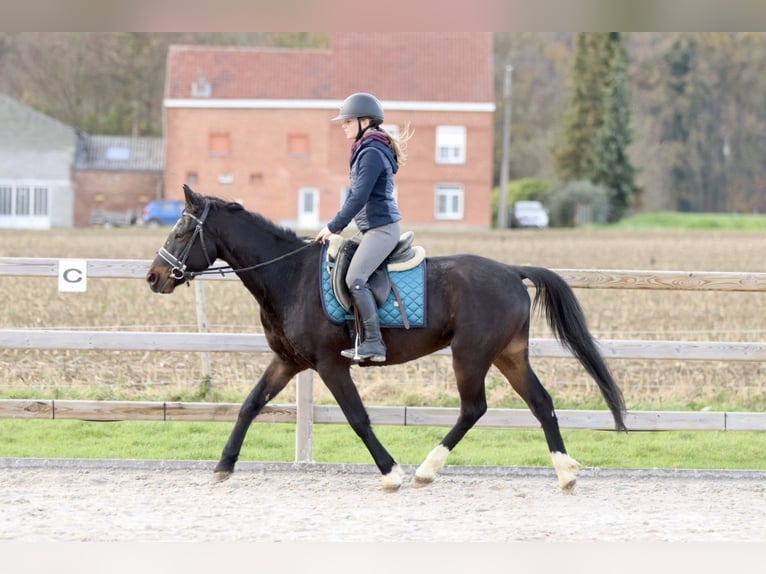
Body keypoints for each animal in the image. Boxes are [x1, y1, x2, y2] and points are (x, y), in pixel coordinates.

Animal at [146, 185, 627, 493]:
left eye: (182, 231)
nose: (153, 277)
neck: (289, 275)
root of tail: (511, 271)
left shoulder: (330, 363)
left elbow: (358, 418)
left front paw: (390, 472)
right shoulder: (288, 361)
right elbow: (250, 405)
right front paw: (223, 465)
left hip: (470, 355)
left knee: (474, 408)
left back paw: (427, 470)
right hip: (508, 354)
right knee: (540, 402)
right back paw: (565, 472)